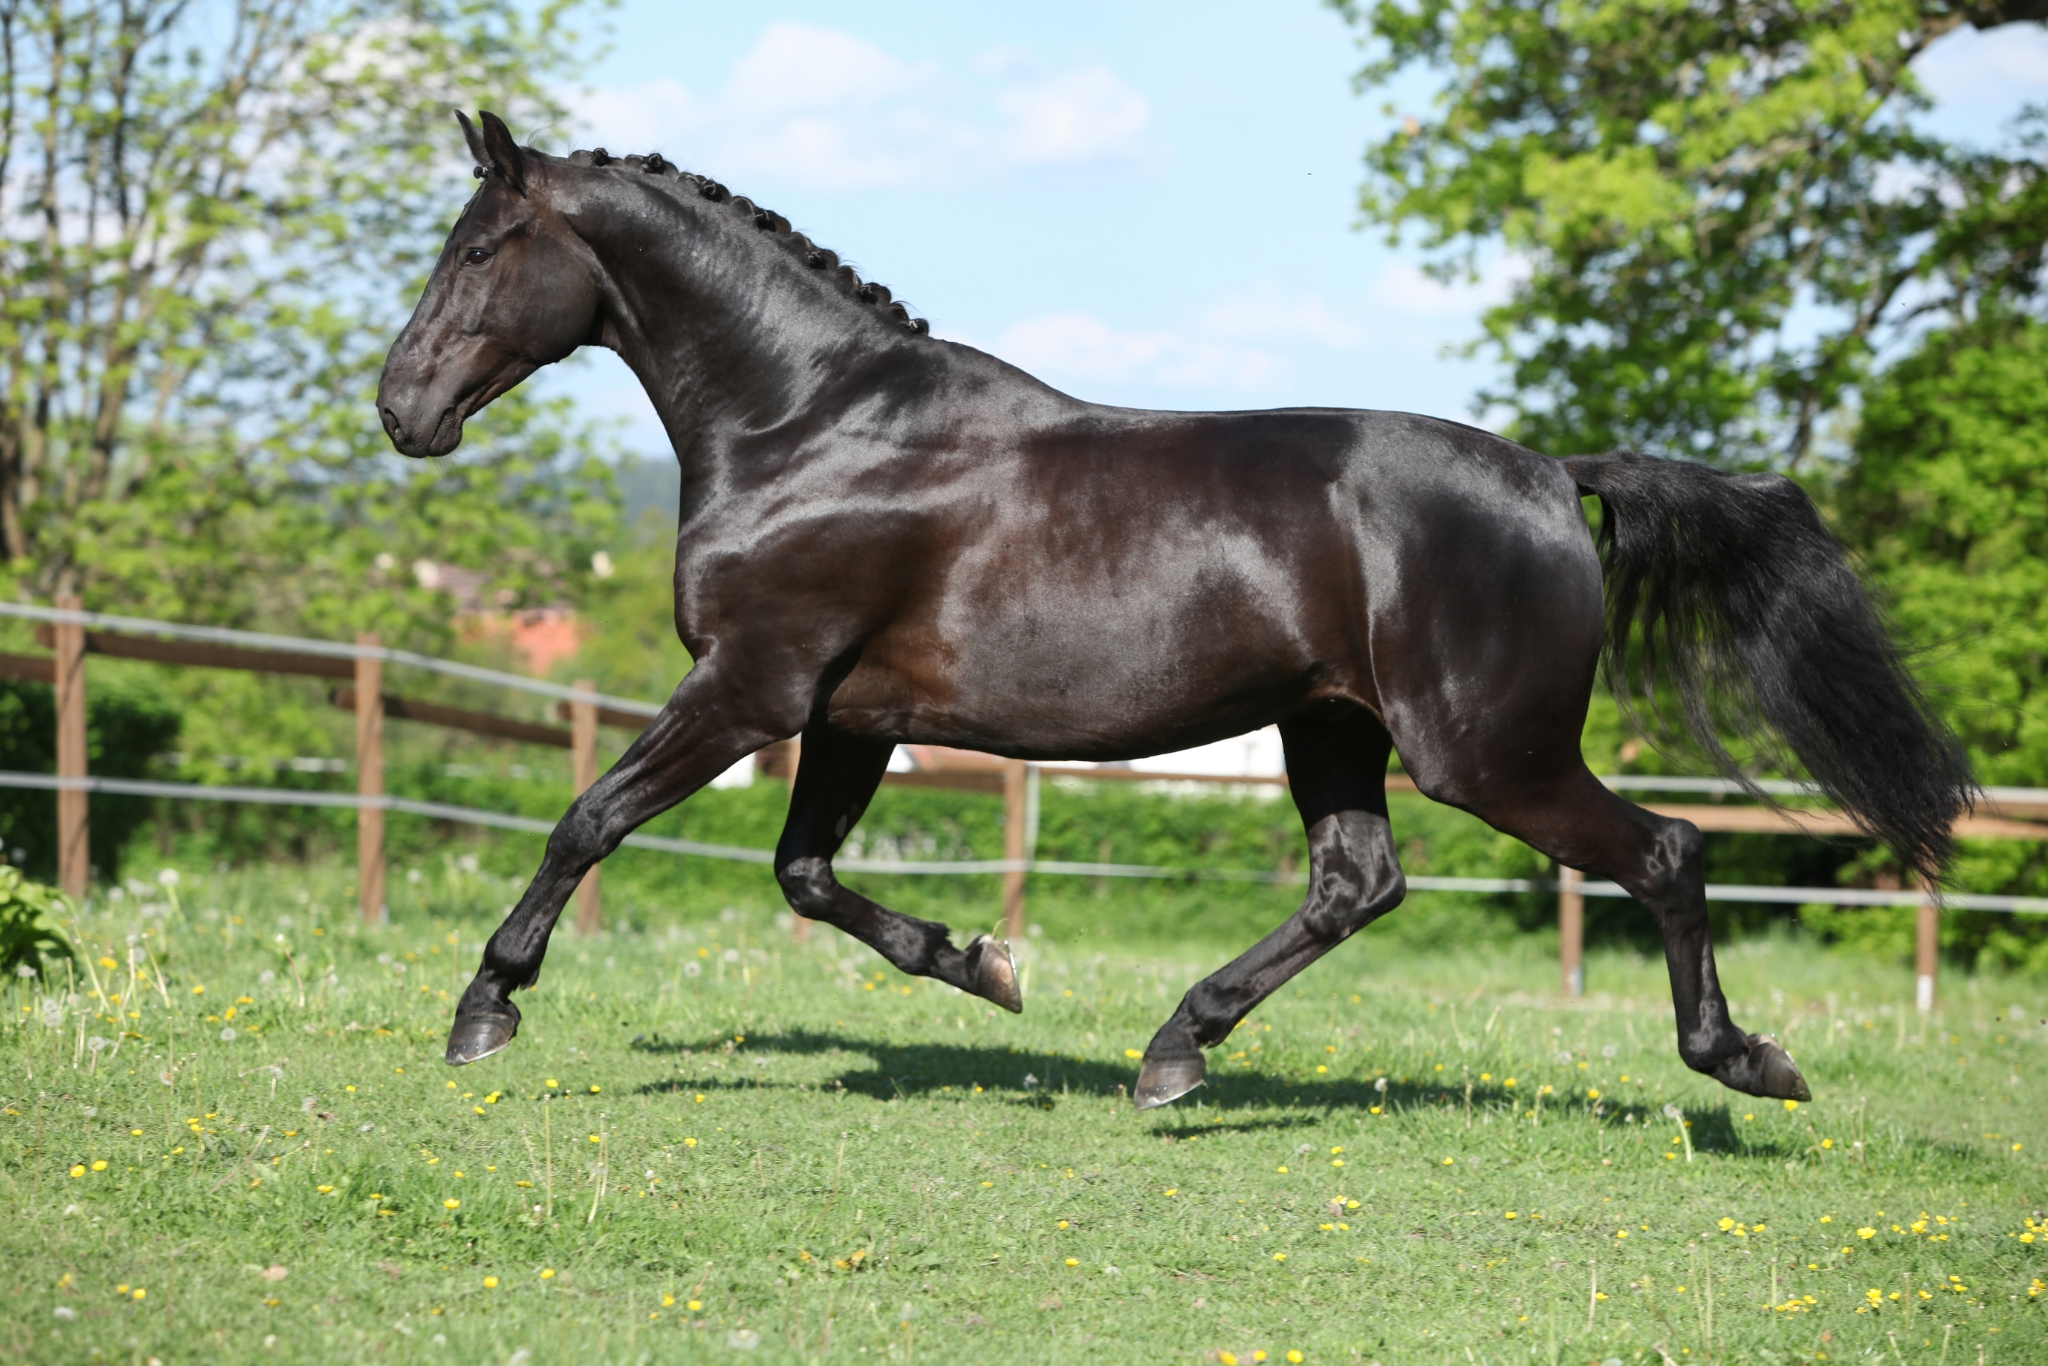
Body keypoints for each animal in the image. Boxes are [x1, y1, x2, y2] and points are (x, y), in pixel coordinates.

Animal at [377, 111, 1972, 1110]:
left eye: (476, 248)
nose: (401, 409)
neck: (810, 427)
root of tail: (1550, 471)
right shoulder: (845, 716)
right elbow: (807, 877)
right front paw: (986, 968)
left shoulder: (749, 686)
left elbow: (588, 818)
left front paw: (482, 1011)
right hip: (1334, 729)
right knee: (1357, 884)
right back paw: (1171, 1052)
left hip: (1488, 752)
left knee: (1665, 851)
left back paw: (1745, 1063)